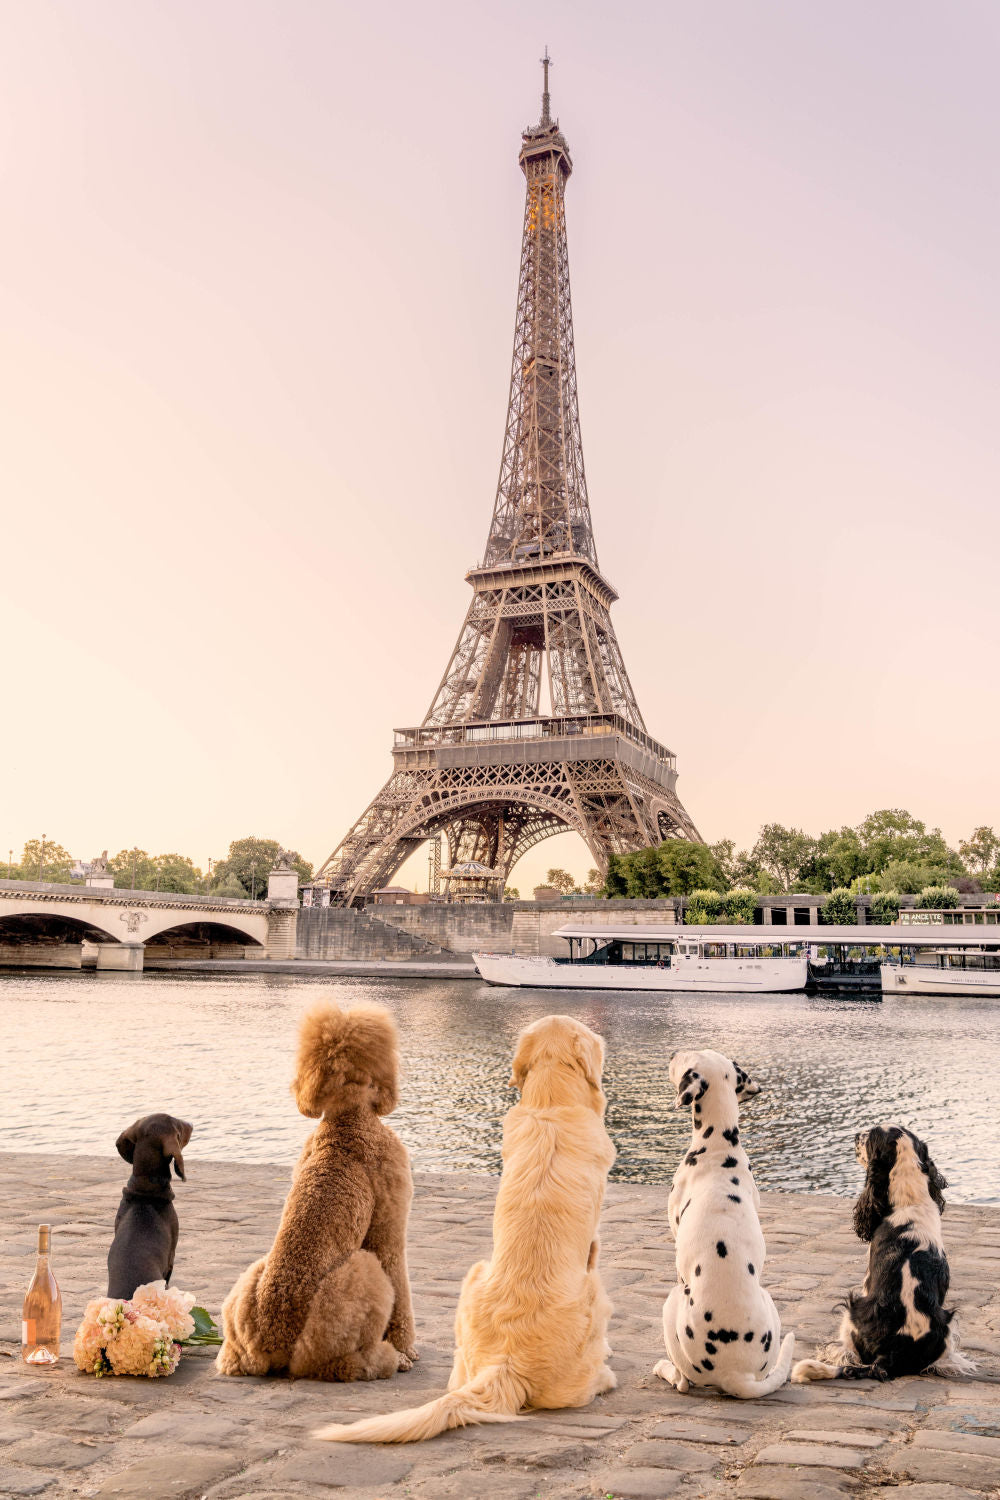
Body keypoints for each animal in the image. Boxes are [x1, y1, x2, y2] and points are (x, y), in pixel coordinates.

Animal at [656, 1050, 797, 1398]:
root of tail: (734, 1374)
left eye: (684, 1058)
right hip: (771, 1304)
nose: (672, 1053)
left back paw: (665, 1369)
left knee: (681, 1381)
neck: (719, 1146)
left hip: (670, 1302)